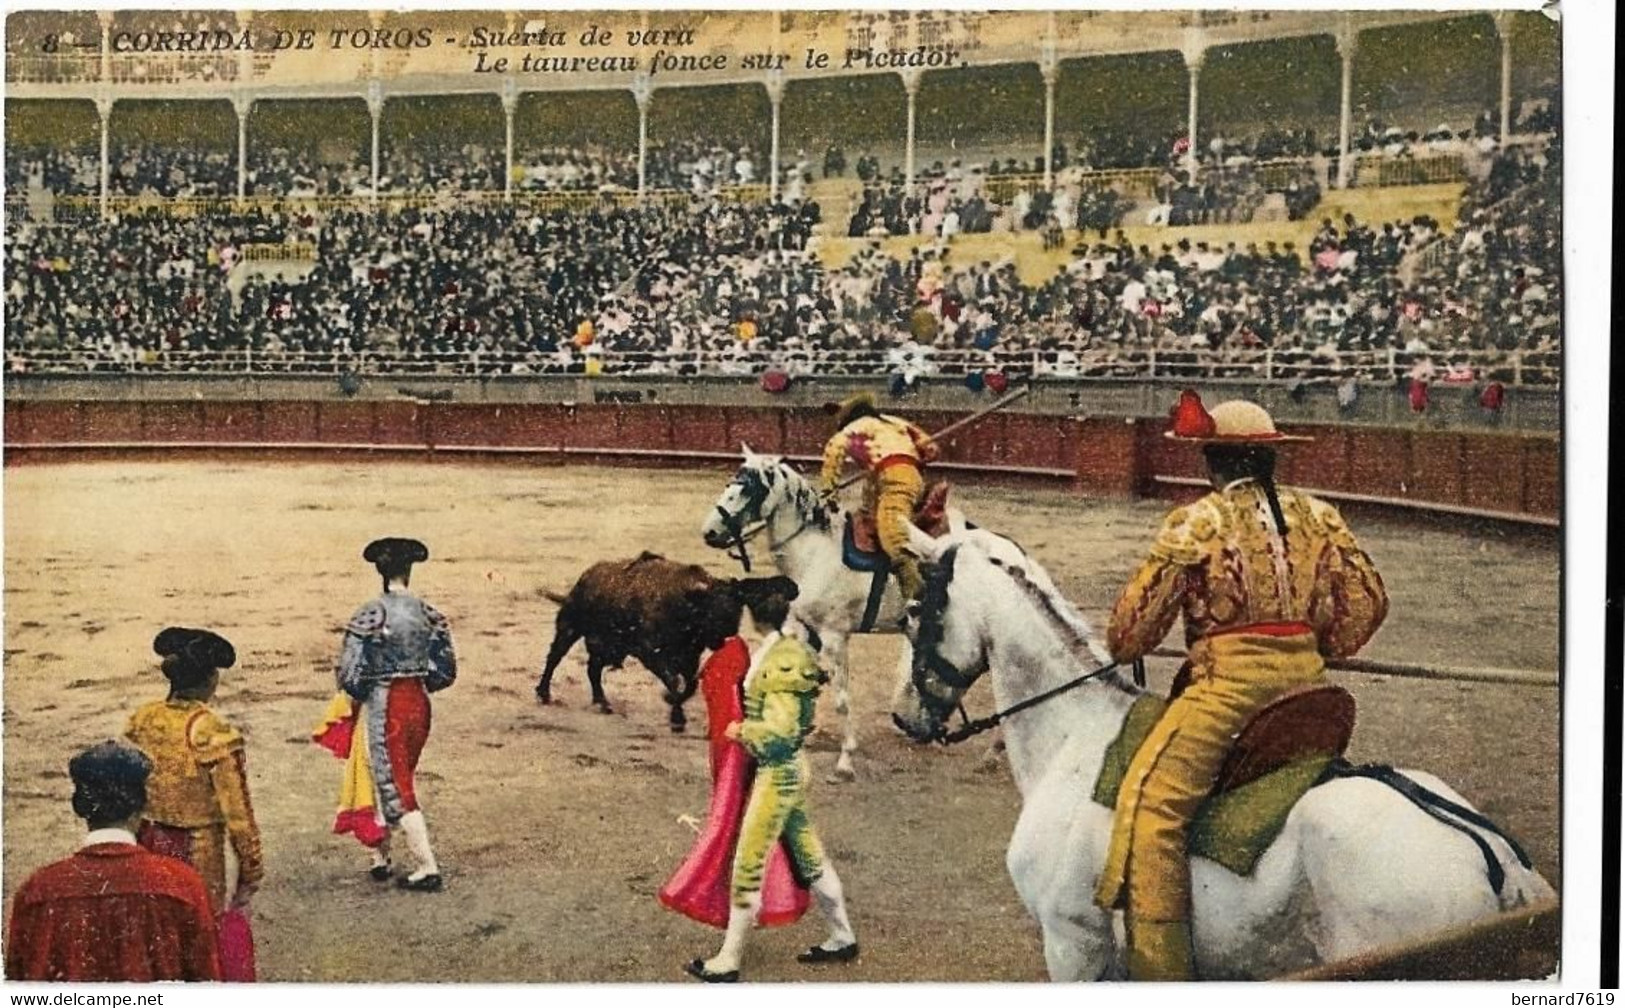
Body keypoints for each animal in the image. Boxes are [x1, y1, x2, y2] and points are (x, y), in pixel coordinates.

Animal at [705, 445, 994, 780]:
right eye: (732, 482)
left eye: (748, 488)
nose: (709, 532)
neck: (814, 550)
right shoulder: (799, 625)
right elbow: (756, 669)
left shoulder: (834, 636)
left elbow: (842, 700)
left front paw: (846, 759)